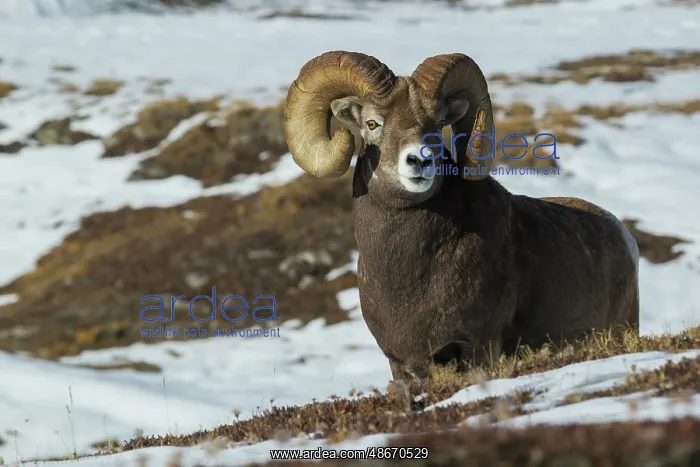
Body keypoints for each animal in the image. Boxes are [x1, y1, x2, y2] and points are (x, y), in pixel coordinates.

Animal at [283, 51, 640, 381]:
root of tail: (624, 236)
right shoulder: (400, 365)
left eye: (437, 124)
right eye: (372, 123)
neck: (409, 274)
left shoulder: (479, 348)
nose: (420, 160)